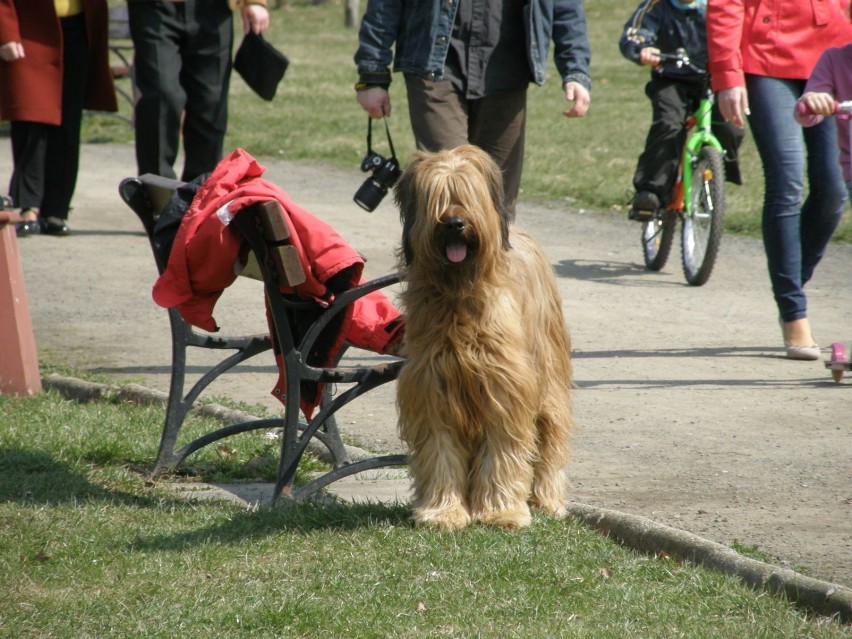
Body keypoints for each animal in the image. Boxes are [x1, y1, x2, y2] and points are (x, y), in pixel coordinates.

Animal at [392, 145, 572, 528]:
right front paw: (443, 512)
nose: (454, 223)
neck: (459, 295)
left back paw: (548, 500)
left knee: (551, 434)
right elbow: (440, 451)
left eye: (467, 194)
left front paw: (502, 511)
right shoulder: (433, 387)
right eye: (438, 197)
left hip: (548, 375)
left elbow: (502, 450)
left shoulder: (505, 386)